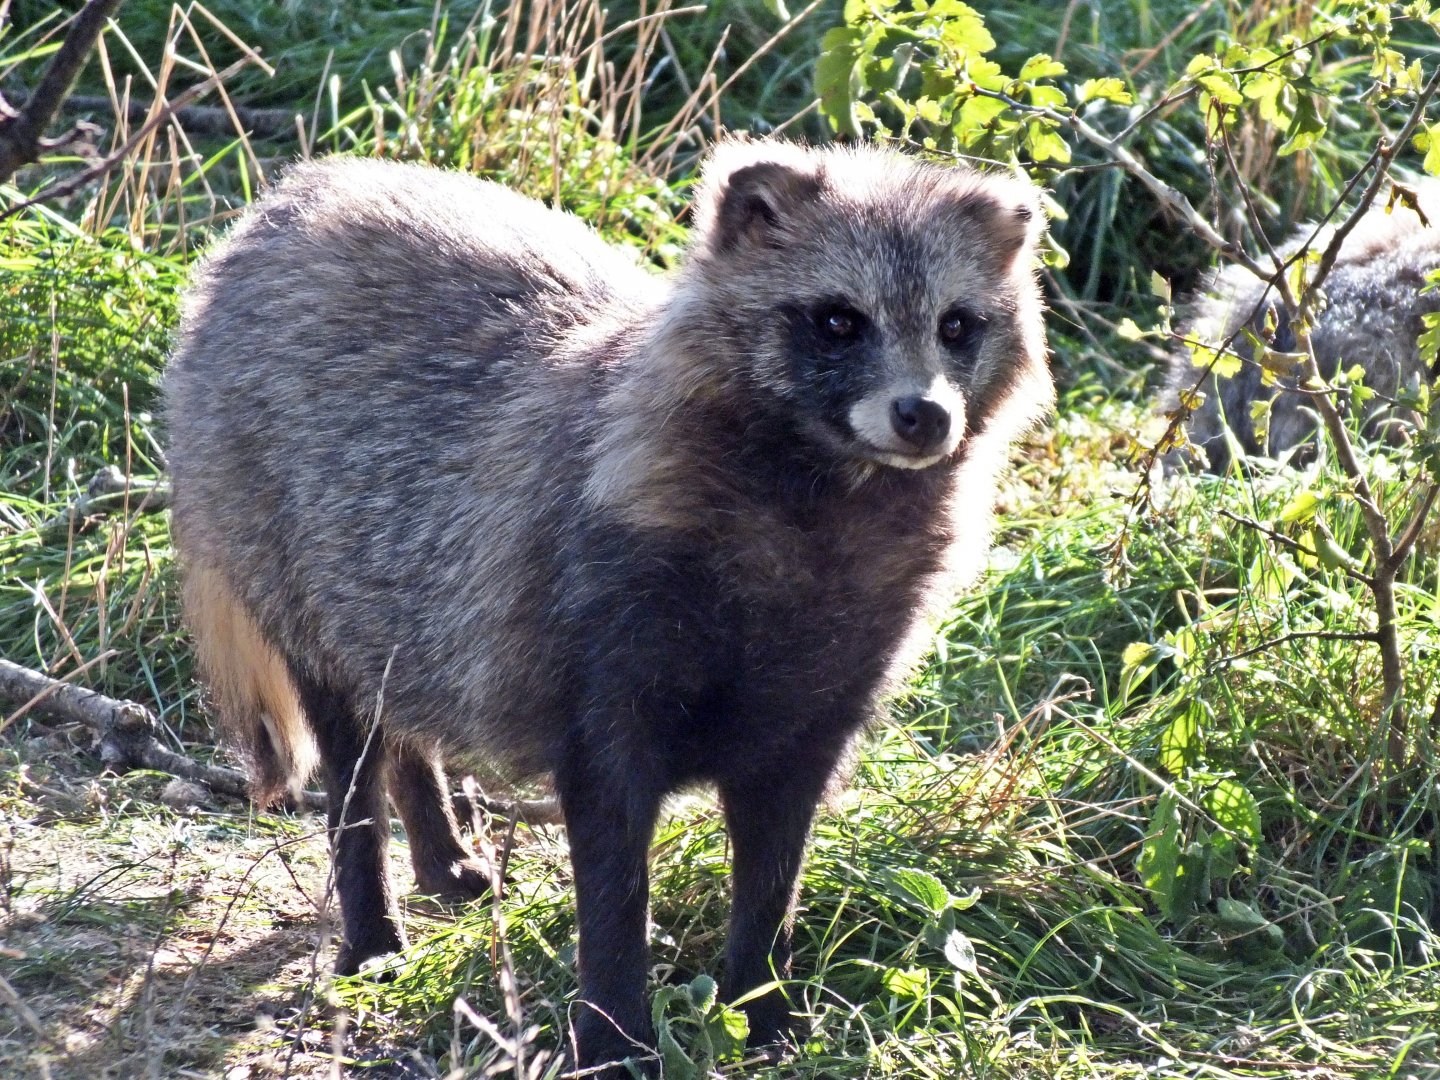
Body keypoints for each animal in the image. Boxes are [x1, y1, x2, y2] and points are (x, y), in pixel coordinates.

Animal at [164, 139, 1052, 1075]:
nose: (925, 416)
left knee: (404, 712)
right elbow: (615, 881)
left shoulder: (818, 697)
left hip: (392, 592)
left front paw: (763, 1004)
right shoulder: (603, 656)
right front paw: (613, 1031)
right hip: (296, 567)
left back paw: (442, 855)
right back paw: (371, 926)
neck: (813, 517)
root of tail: (296, 195)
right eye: (839, 320)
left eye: (957, 325)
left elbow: (773, 873)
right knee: (353, 765)